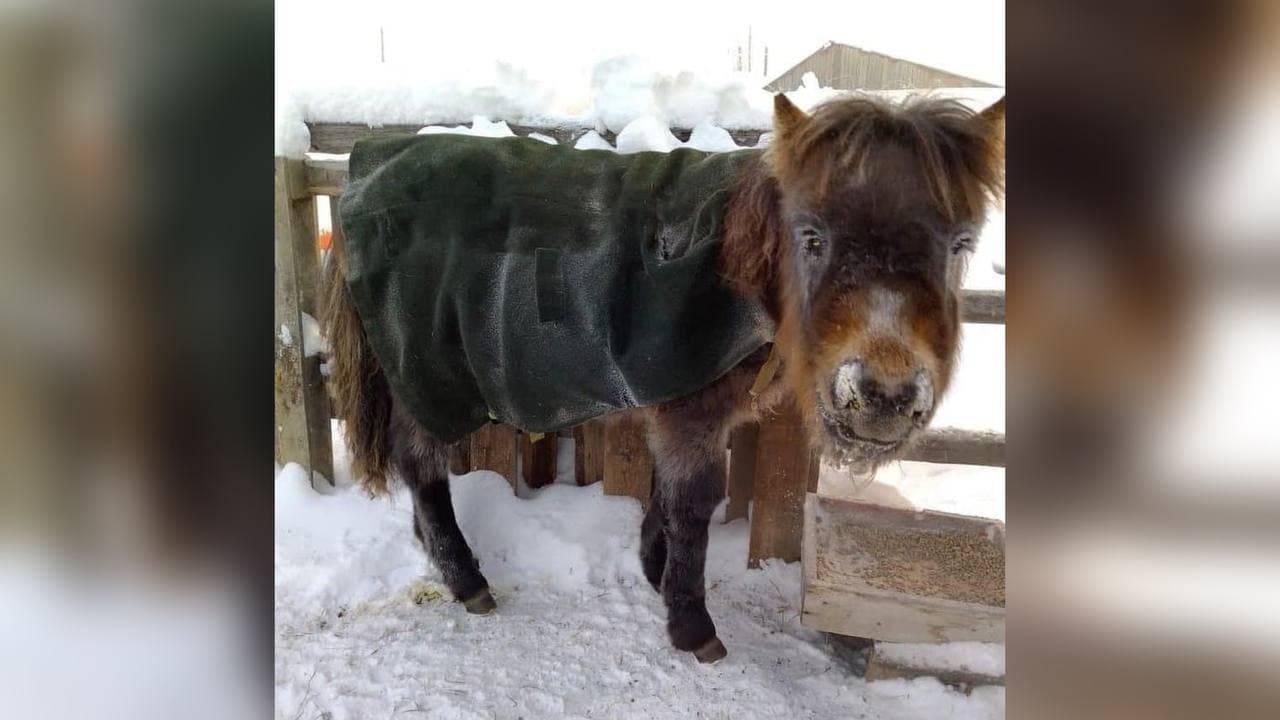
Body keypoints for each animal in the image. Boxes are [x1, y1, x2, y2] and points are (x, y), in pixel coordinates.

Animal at [325, 92, 1003, 661]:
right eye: (812, 237)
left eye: (960, 244)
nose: (883, 398)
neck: (730, 263)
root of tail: (364, 171)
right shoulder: (691, 408)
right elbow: (696, 500)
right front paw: (691, 624)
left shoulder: (683, 403)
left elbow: (670, 494)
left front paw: (655, 568)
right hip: (427, 374)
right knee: (420, 463)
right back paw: (466, 579)